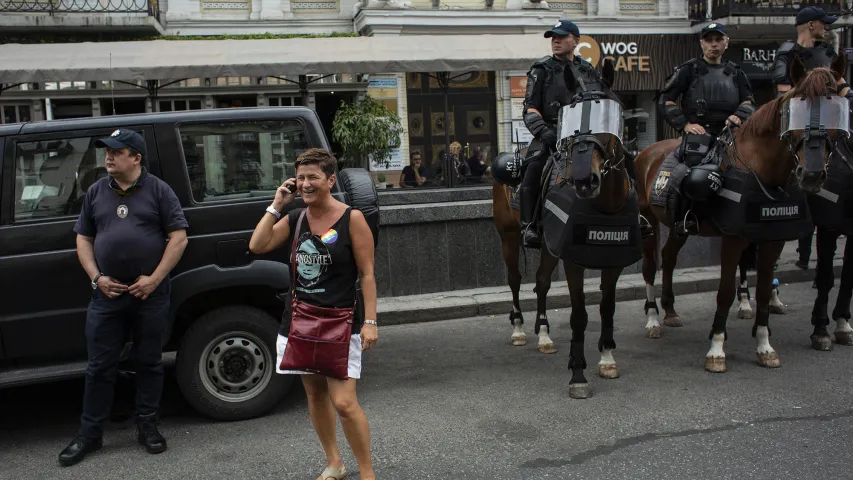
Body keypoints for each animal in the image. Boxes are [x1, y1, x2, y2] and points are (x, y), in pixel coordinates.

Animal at [632, 54, 844, 374]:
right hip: (649, 220)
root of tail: (645, 153)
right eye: (795, 111)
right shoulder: (733, 240)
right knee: (649, 267)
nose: (812, 175)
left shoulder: (772, 239)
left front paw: (764, 346)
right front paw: (717, 348)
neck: (761, 168)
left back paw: (670, 310)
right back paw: (653, 319)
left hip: (679, 226)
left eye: (836, 111)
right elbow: (725, 292)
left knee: (668, 258)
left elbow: (764, 291)